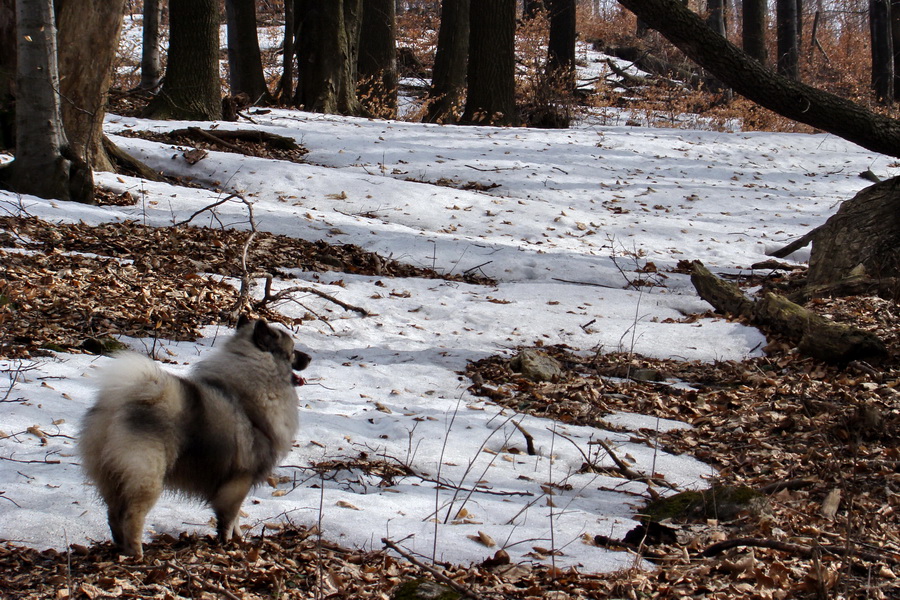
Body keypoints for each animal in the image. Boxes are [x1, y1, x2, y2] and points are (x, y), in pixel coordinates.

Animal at [81, 316, 312, 556]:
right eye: (293, 351)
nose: (309, 357)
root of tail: (116, 405)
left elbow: (236, 518)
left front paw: (239, 539)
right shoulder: (239, 481)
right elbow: (229, 518)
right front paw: (227, 543)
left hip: (112, 477)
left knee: (113, 515)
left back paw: (120, 547)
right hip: (146, 478)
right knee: (132, 516)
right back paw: (137, 553)